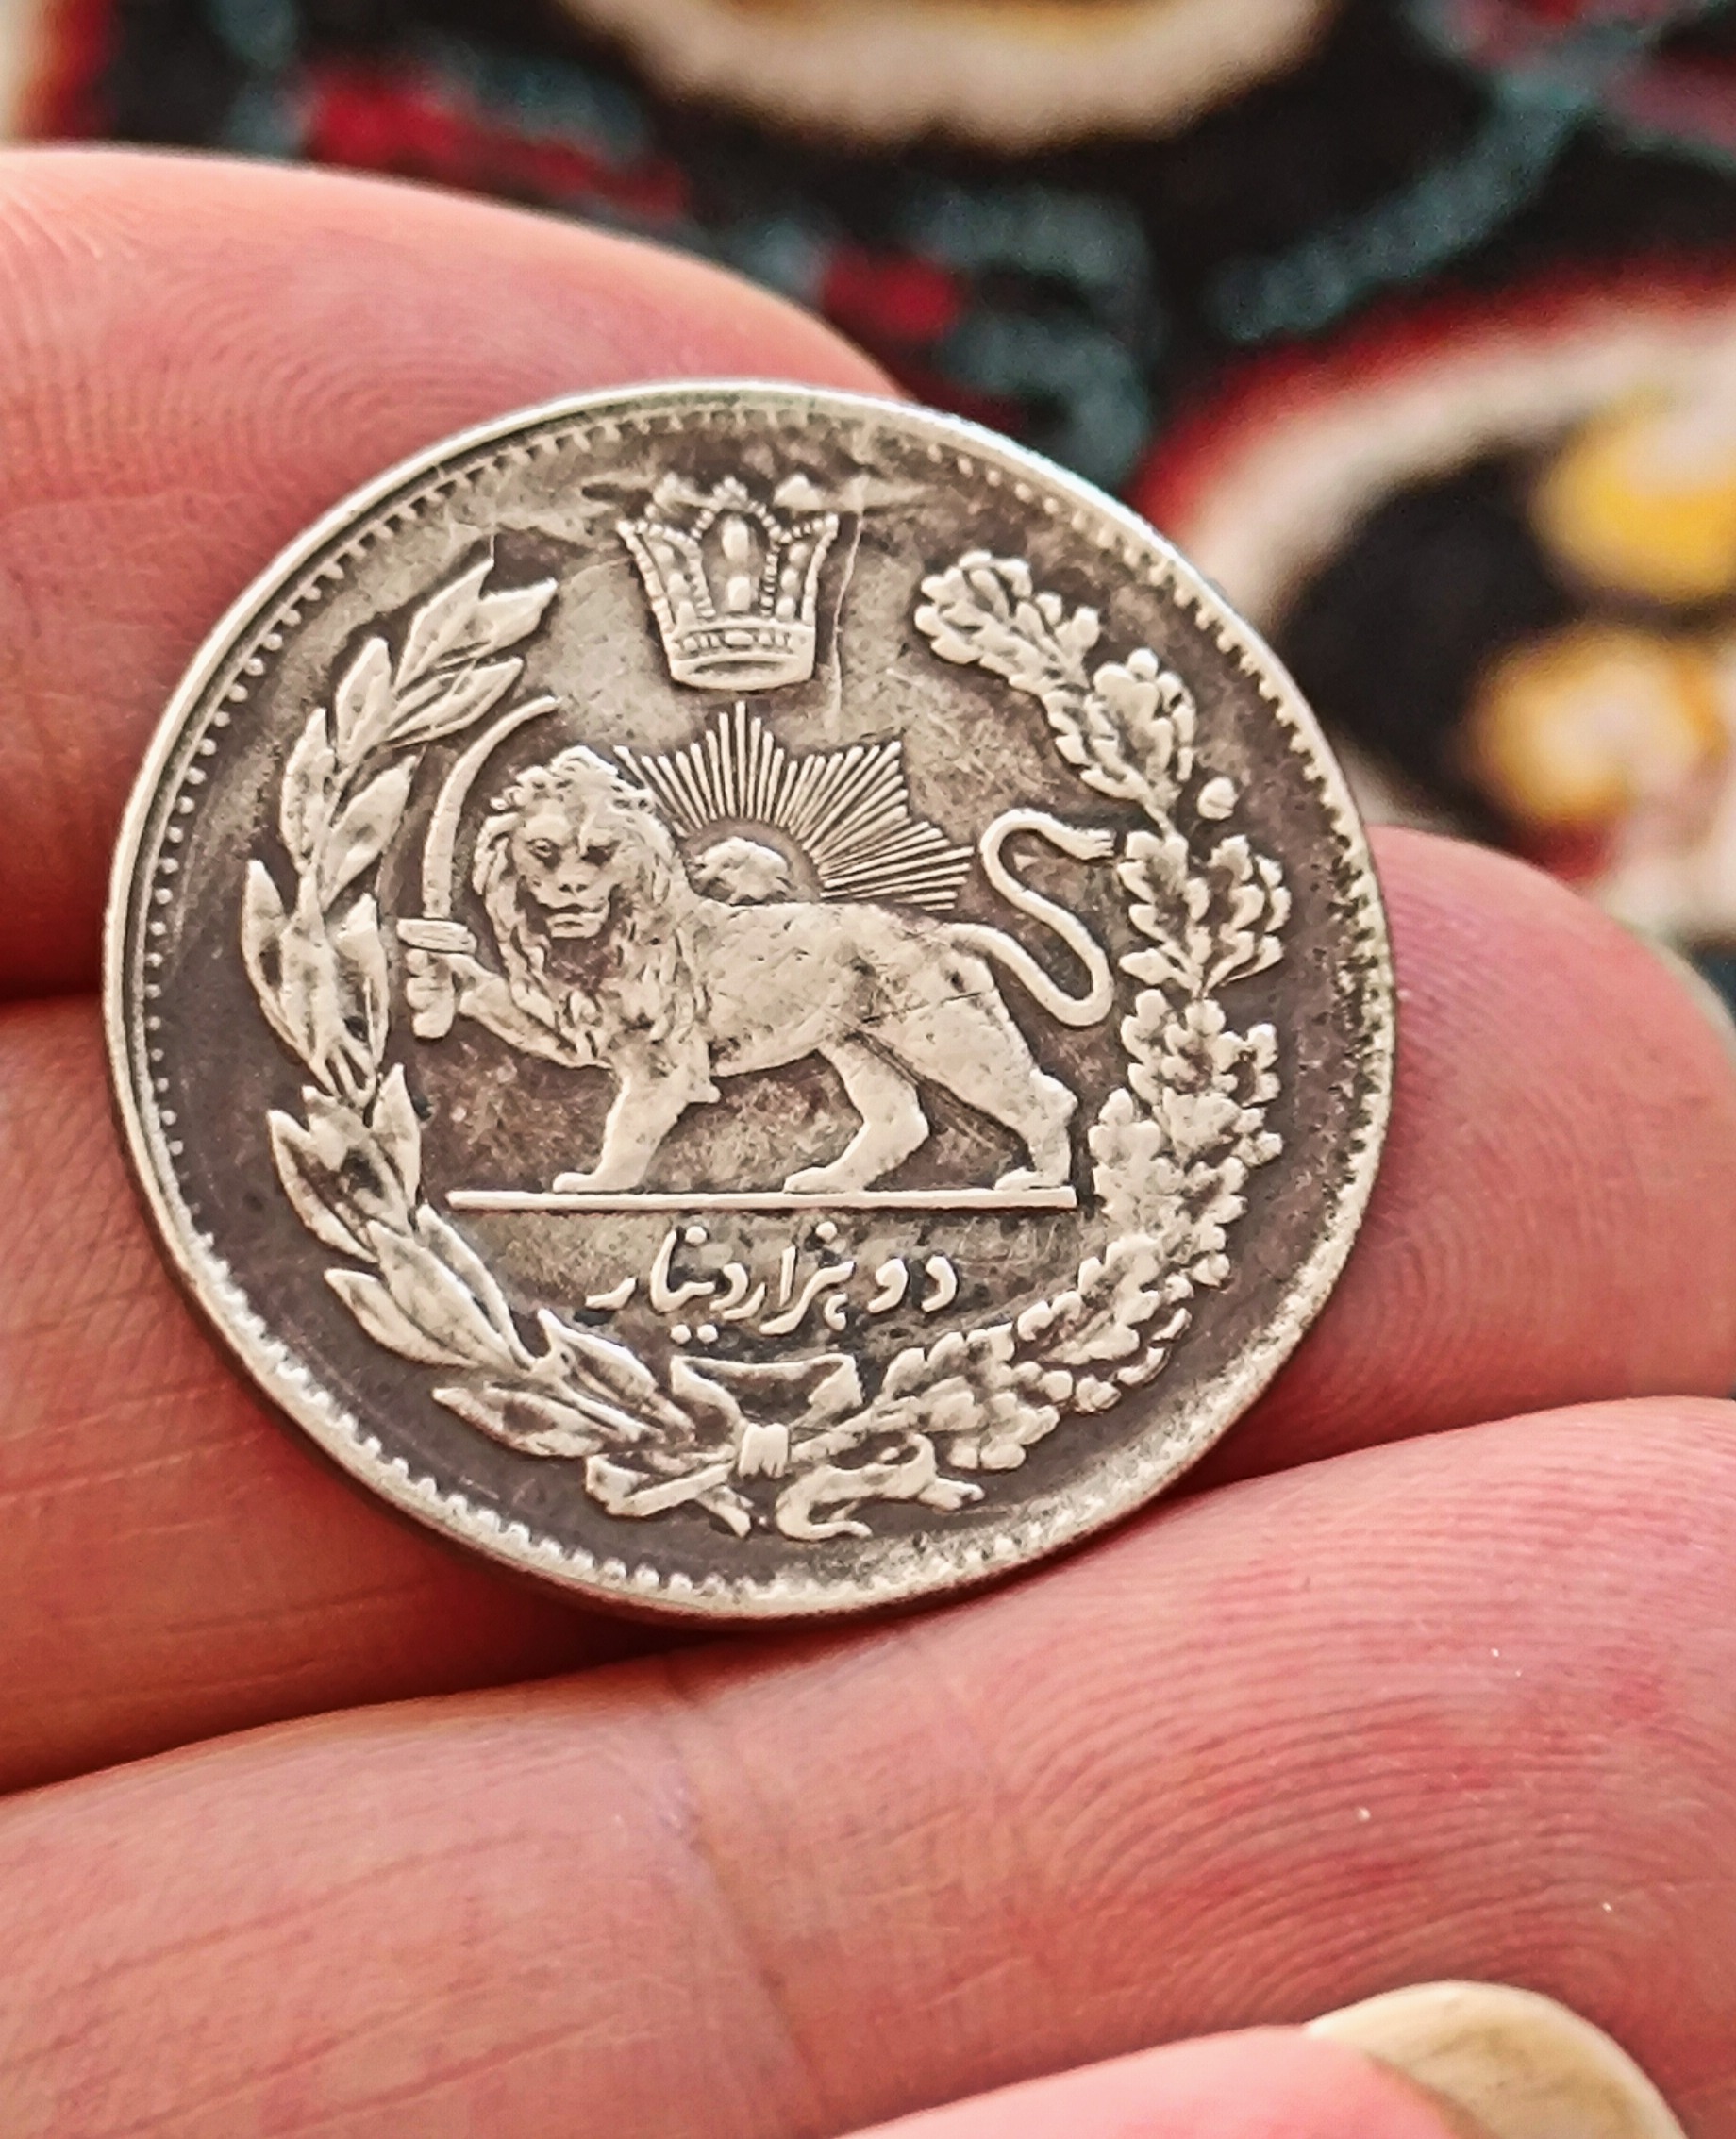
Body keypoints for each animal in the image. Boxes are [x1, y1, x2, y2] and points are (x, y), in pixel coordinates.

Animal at [404, 746, 1116, 1196]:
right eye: (544, 850)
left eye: (600, 851)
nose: (573, 890)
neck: (599, 941)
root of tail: (942, 929)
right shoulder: (584, 1022)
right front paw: (442, 974)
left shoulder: (666, 1060)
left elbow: (629, 1123)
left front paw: (599, 1184)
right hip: (857, 1041)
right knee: (901, 1119)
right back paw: (830, 1184)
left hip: (941, 1032)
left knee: (1042, 1095)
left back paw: (1042, 1180)